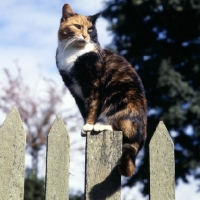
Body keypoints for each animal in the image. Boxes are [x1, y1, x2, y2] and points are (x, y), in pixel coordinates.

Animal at [55, 3, 147, 177]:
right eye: (78, 26)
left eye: (91, 29)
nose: (85, 36)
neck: (73, 54)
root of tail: (141, 136)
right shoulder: (75, 91)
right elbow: (84, 109)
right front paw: (85, 125)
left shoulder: (93, 85)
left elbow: (93, 106)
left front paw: (89, 125)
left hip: (119, 97)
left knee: (122, 127)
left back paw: (101, 125)